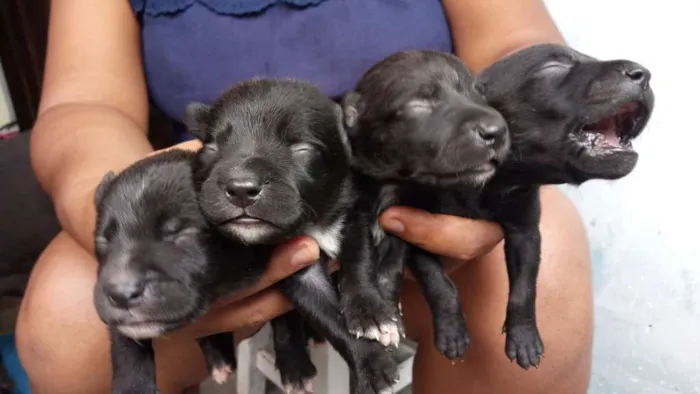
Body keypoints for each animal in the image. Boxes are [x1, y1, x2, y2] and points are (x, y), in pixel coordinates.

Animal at [186, 77, 400, 394]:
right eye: (211, 149)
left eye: (301, 149)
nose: (241, 188)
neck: (312, 224)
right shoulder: (297, 269)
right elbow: (327, 315)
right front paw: (372, 364)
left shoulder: (353, 216)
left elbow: (359, 265)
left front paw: (373, 314)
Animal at [338, 50, 508, 360]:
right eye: (419, 104)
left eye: (479, 94)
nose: (497, 130)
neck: (393, 185)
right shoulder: (354, 215)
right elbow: (358, 255)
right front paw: (369, 311)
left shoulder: (412, 225)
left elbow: (422, 273)